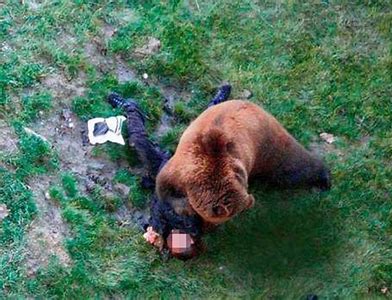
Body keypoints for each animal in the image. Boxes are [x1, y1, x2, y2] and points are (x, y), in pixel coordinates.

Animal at [156, 100, 330, 225]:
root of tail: (258, 108)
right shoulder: (181, 169)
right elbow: (163, 185)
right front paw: (185, 207)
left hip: (269, 147)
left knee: (292, 168)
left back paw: (324, 178)